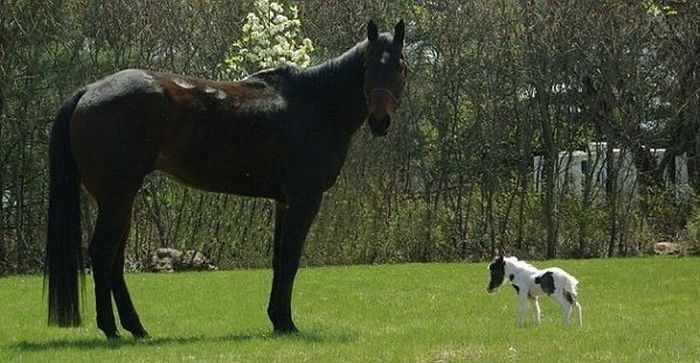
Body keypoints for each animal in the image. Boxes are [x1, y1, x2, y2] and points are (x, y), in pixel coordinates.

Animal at [45, 19, 404, 338]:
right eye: (368, 66)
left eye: (400, 66)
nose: (380, 121)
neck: (317, 104)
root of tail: (89, 91)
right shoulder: (304, 199)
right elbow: (290, 259)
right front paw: (286, 322)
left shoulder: (284, 202)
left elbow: (278, 260)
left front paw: (277, 319)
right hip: (116, 196)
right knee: (102, 253)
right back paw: (111, 328)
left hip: (122, 200)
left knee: (115, 260)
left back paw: (135, 327)